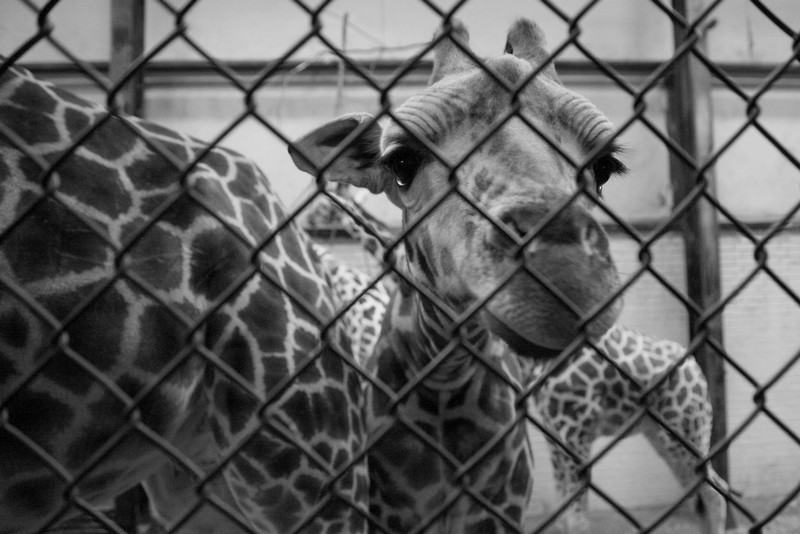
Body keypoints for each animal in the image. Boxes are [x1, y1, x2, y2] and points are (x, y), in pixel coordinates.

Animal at [290, 18, 624, 533]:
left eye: (604, 168)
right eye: (401, 161)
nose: (564, 277)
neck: (446, 381)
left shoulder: (499, 510)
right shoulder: (389, 513)